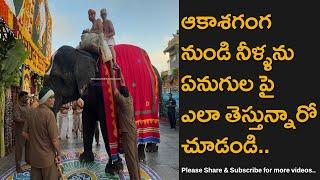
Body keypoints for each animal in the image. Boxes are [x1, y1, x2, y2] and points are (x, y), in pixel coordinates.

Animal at [44, 45, 124, 174]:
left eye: (56, 78)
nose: (59, 166)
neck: (82, 53)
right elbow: (87, 117)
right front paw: (84, 159)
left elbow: (106, 123)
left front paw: (113, 169)